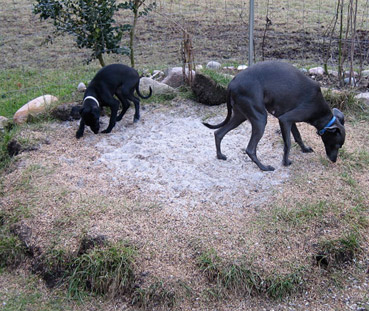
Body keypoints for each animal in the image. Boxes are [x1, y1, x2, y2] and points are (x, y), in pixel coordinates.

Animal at [201, 61, 344, 173]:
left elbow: (298, 136)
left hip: (240, 116)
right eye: (337, 145)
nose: (334, 160)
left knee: (218, 133)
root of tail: (231, 84)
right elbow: (288, 143)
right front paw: (286, 162)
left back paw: (220, 156)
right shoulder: (285, 119)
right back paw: (264, 167)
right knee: (250, 149)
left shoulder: (289, 120)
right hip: (260, 119)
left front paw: (305, 149)